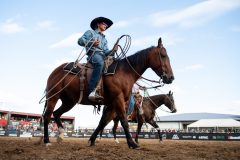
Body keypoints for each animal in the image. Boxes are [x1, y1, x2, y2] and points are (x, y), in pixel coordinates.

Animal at [40, 37, 173, 149]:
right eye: (163, 55)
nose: (171, 77)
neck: (124, 72)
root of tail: (55, 71)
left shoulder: (111, 104)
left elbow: (102, 123)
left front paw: (92, 140)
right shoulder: (118, 100)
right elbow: (124, 121)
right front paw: (132, 143)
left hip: (69, 101)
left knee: (57, 113)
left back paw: (61, 135)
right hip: (53, 96)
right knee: (47, 116)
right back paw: (47, 141)